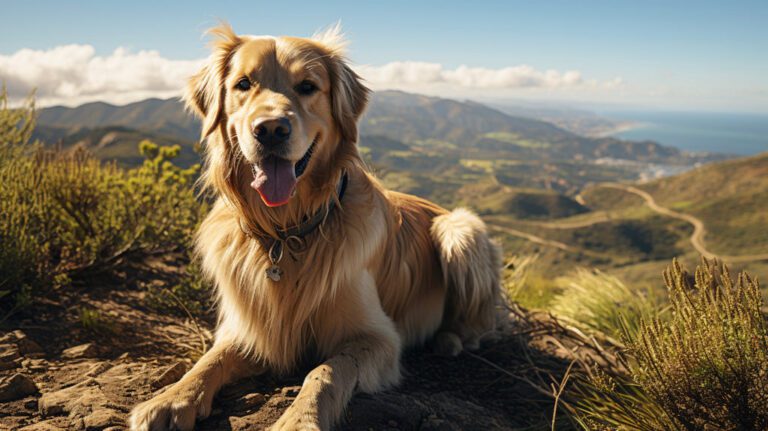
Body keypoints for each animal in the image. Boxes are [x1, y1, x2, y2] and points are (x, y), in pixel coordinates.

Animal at [130, 23, 504, 431]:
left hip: (460, 231)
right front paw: (172, 398)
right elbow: (209, 360)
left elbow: (325, 371)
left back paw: (450, 340)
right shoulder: (247, 326)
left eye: (308, 86)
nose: (270, 129)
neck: (287, 232)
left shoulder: (378, 338)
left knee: (480, 326)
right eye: (243, 84)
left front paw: (299, 418)